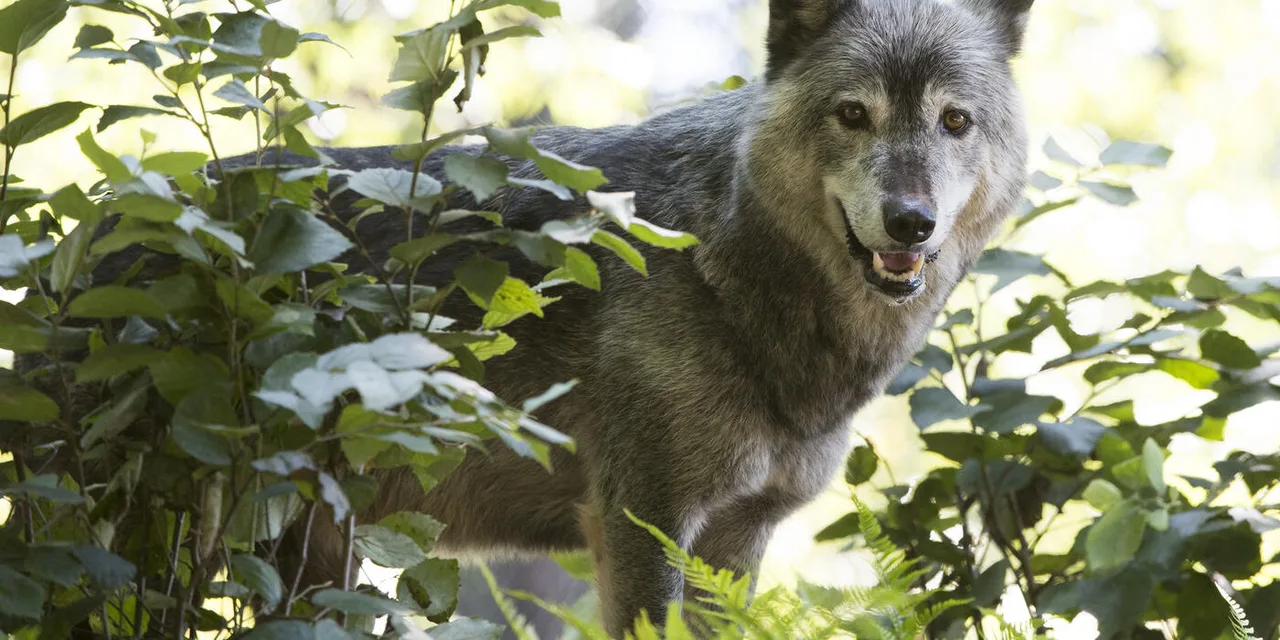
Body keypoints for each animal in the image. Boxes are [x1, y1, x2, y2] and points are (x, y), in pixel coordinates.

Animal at [56, 0, 1035, 635]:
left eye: (954, 121)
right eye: (852, 114)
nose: (910, 222)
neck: (726, 263)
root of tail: (87, 230)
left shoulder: (734, 546)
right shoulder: (641, 526)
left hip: (311, 566)